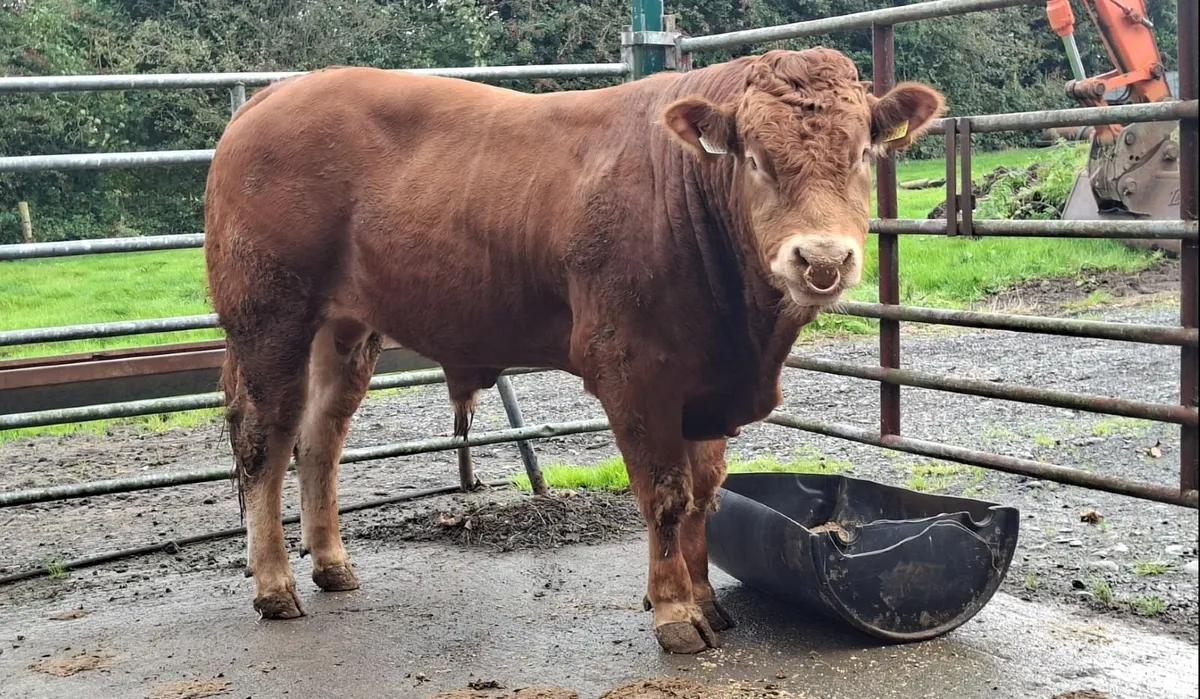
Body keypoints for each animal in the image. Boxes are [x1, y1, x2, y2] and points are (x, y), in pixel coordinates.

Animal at [203, 47, 943, 654]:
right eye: (756, 160)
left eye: (861, 154)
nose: (822, 259)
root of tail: (279, 93)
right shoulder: (634, 370)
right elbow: (666, 495)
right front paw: (675, 613)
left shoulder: (707, 387)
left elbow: (704, 493)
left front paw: (704, 597)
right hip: (270, 318)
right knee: (264, 439)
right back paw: (275, 585)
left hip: (346, 329)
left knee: (321, 438)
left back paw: (332, 565)